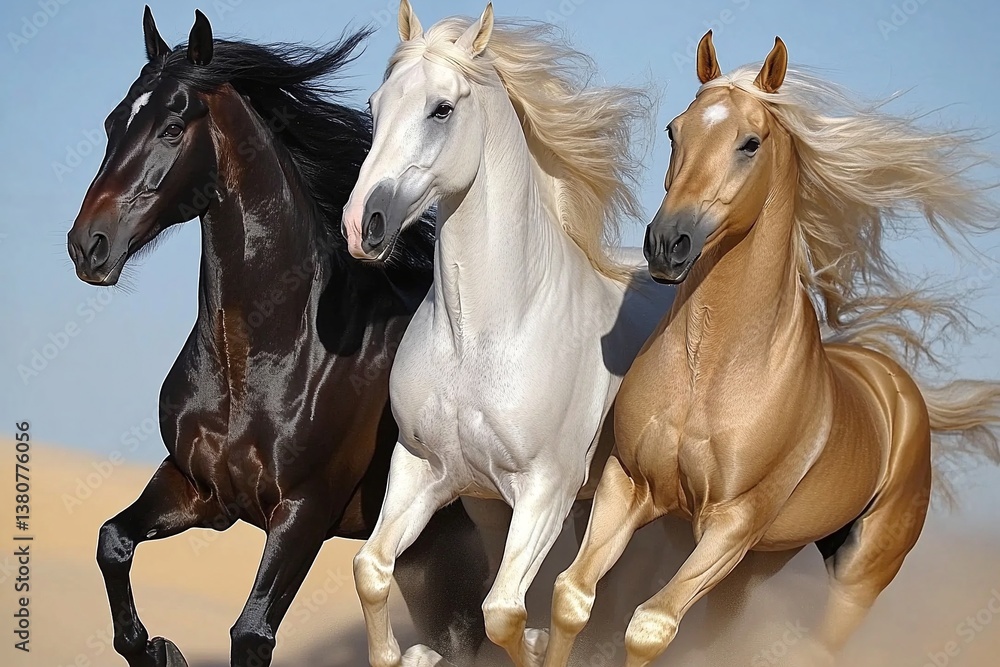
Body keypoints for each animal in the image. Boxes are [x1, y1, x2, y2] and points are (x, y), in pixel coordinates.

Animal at [65, 8, 488, 667]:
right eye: (113, 123)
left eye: (173, 126)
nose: (89, 245)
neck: (271, 354)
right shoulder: (197, 491)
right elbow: (113, 542)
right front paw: (157, 648)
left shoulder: (304, 513)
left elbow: (251, 633)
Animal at [340, 2, 676, 665]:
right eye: (374, 105)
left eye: (442, 108)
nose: (362, 224)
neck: (484, 335)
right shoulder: (424, 471)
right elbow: (372, 570)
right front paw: (408, 655)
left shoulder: (546, 492)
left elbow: (504, 614)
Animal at [544, 32, 1000, 666]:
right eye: (674, 131)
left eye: (750, 143)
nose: (667, 243)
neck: (711, 370)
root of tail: (898, 392)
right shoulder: (629, 485)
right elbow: (572, 596)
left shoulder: (733, 523)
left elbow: (651, 626)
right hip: (760, 564)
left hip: (858, 575)